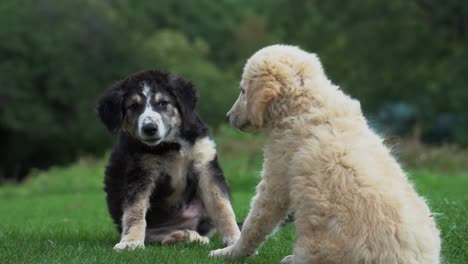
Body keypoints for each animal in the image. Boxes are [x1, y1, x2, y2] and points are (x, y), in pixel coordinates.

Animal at [96, 69, 239, 250]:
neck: (171, 145)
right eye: (133, 106)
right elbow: (135, 211)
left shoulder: (205, 163)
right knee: (153, 235)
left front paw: (235, 239)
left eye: (163, 103)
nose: (149, 128)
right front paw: (131, 242)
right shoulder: (140, 172)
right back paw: (182, 237)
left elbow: (222, 206)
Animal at [210, 44, 440, 262]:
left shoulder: (277, 175)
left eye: (242, 91)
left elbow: (255, 223)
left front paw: (229, 252)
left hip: (314, 245)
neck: (306, 102)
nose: (227, 116)